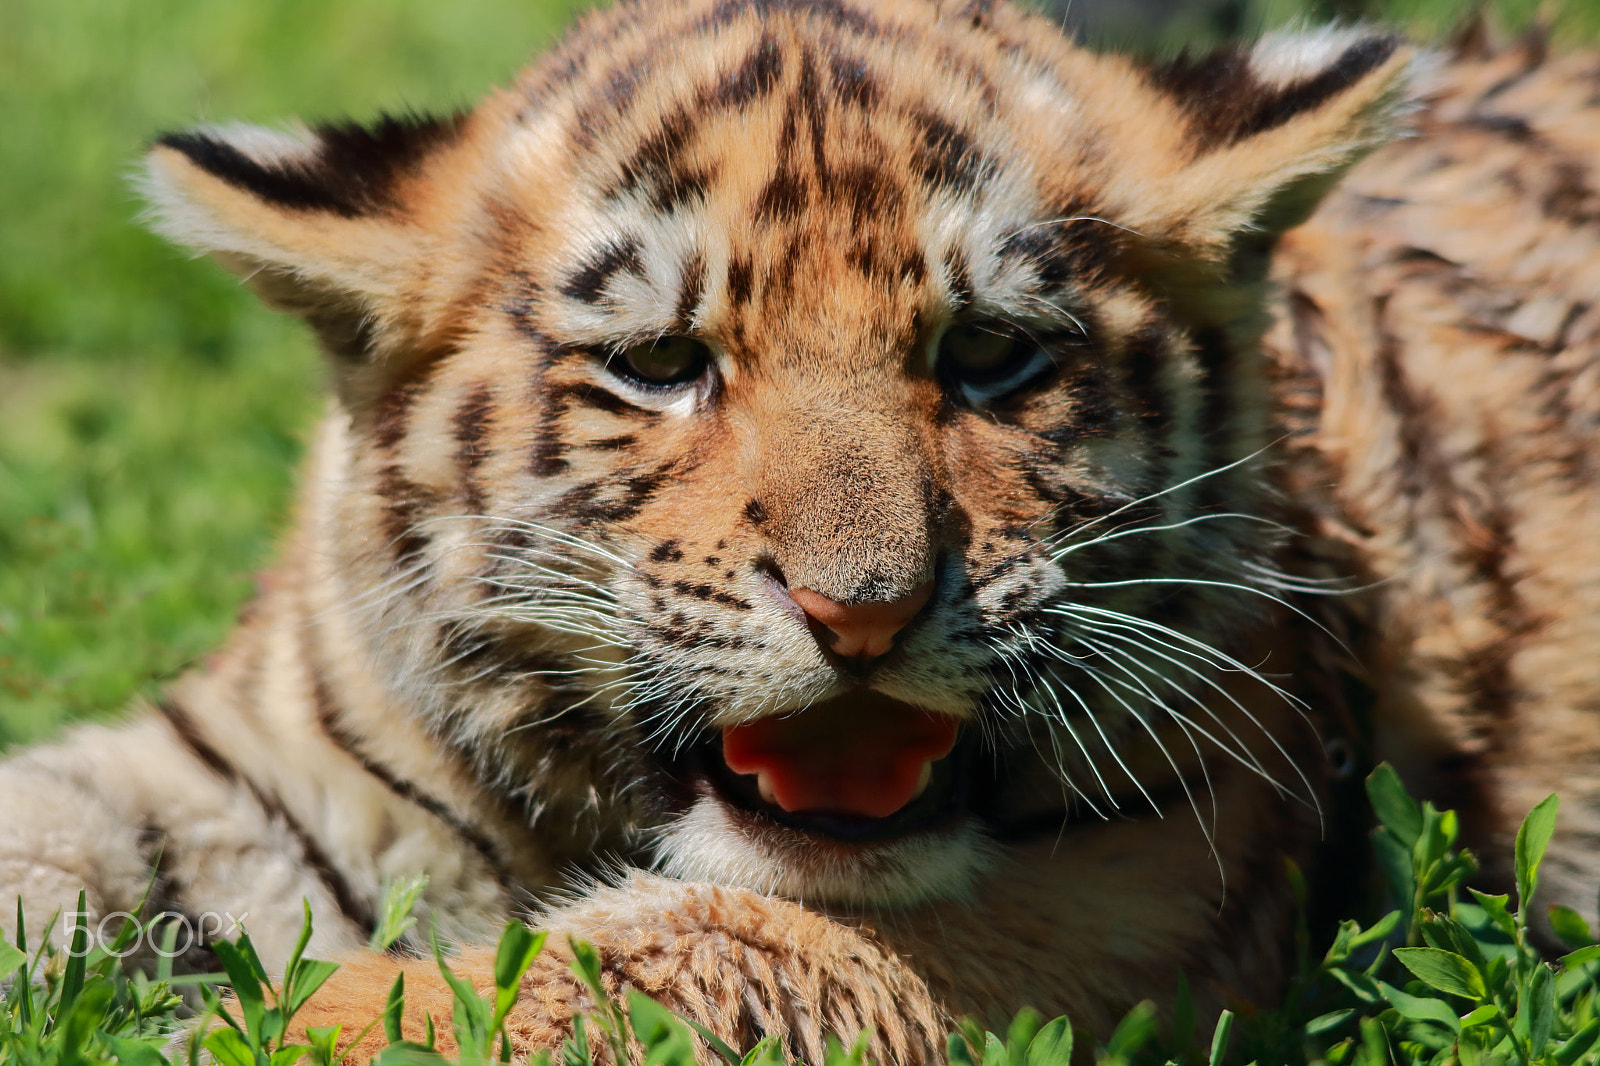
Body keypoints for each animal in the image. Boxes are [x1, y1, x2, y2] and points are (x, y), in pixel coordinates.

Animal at [2, 0, 1597, 1061]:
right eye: (660, 363)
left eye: (991, 355)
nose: (863, 614)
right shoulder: (271, 759)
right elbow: (55, 822)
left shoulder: (1125, 882)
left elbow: (665, 950)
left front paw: (259, 1035)